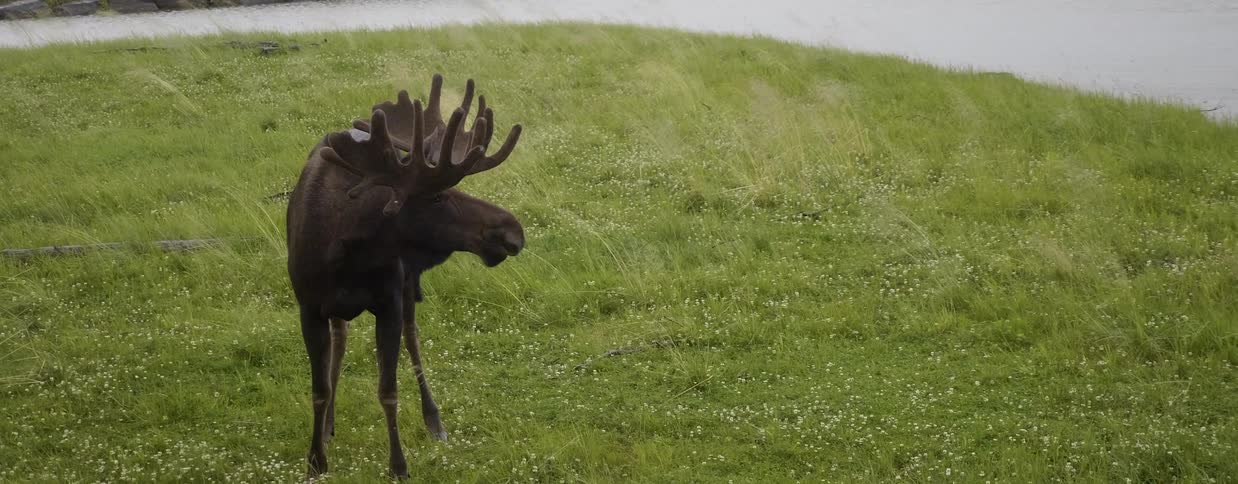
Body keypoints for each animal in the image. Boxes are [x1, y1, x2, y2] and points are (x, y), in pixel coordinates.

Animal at [285, 74, 524, 478]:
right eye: (438, 197)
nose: (512, 231)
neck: (345, 250)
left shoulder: (391, 301)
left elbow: (388, 390)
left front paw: (397, 464)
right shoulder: (309, 308)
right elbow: (319, 390)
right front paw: (316, 460)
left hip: (409, 284)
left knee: (413, 337)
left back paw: (433, 419)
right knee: (341, 339)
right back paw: (331, 421)